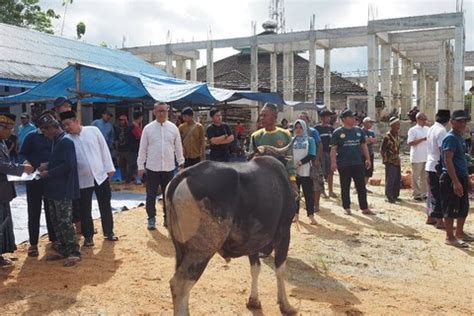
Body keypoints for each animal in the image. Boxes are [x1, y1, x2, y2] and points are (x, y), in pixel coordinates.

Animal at [166, 142, 296, 314]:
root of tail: (185, 175)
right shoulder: (284, 232)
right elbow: (280, 269)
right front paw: (285, 305)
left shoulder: (254, 241)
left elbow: (256, 268)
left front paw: (254, 300)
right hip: (201, 250)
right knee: (179, 284)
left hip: (180, 249)